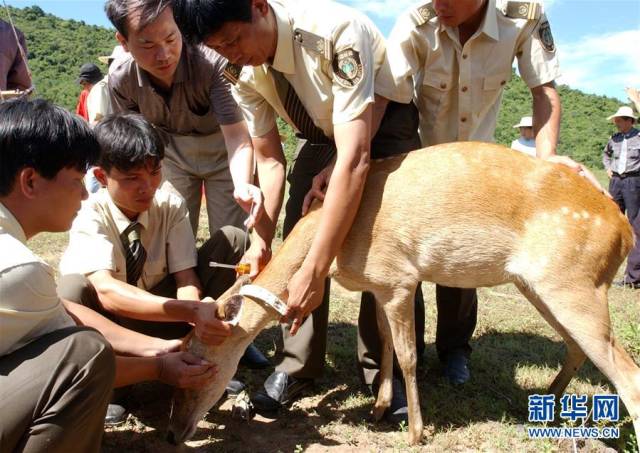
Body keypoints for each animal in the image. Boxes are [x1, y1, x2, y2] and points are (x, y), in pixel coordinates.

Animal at [166, 141, 640, 444]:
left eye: (203, 364)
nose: (173, 433)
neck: (337, 246)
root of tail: (624, 230)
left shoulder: (399, 278)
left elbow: (410, 355)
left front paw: (414, 431)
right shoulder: (379, 285)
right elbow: (386, 345)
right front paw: (377, 410)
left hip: (574, 281)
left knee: (627, 374)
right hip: (541, 286)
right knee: (578, 349)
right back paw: (539, 406)